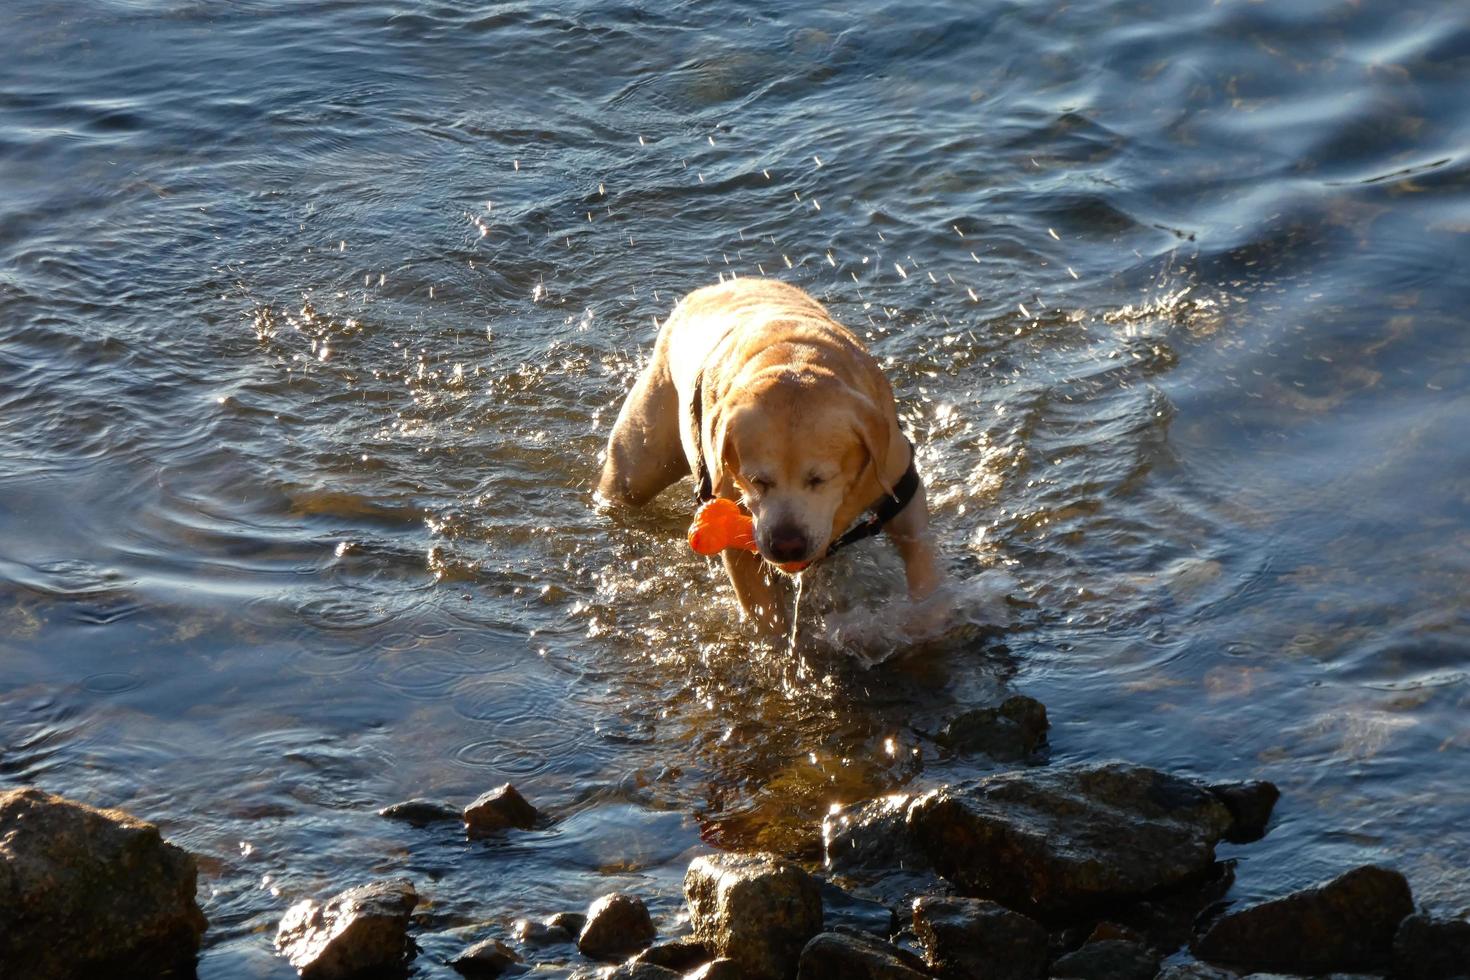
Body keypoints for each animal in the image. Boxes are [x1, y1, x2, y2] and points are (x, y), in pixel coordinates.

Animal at [590, 277, 934, 628]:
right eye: (757, 481)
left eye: (819, 479)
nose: (786, 545)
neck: (793, 359)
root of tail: (705, 291)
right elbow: (763, 610)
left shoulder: (896, 478)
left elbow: (920, 552)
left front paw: (928, 616)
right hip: (642, 451)